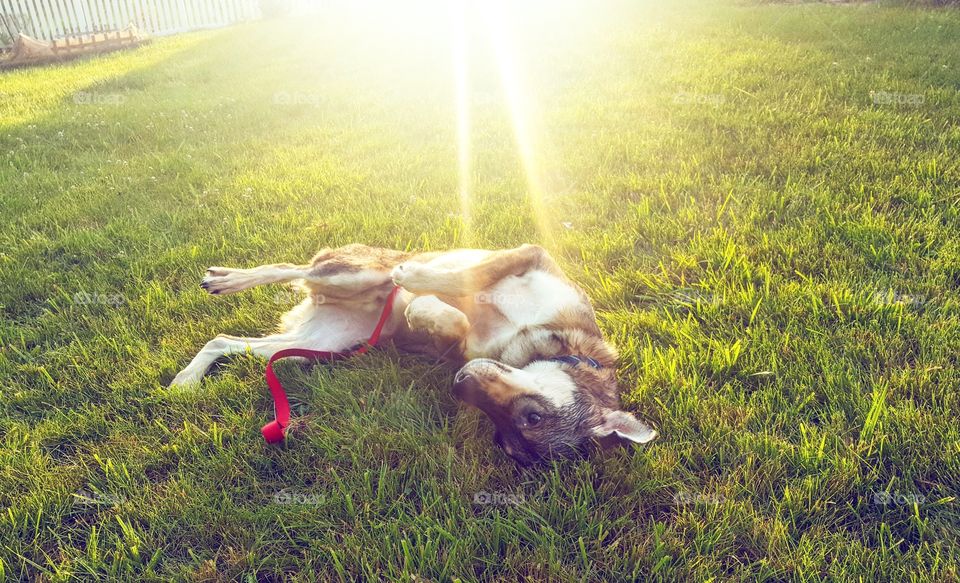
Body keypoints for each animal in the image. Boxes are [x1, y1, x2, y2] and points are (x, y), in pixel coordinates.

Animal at [172, 244, 656, 464]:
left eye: (507, 435)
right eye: (532, 417)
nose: (460, 384)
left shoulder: (464, 347)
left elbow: (451, 323)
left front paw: (426, 310)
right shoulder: (528, 254)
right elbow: (464, 279)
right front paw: (419, 284)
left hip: (317, 347)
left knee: (223, 340)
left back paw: (185, 381)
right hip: (353, 272)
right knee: (291, 267)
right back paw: (227, 279)